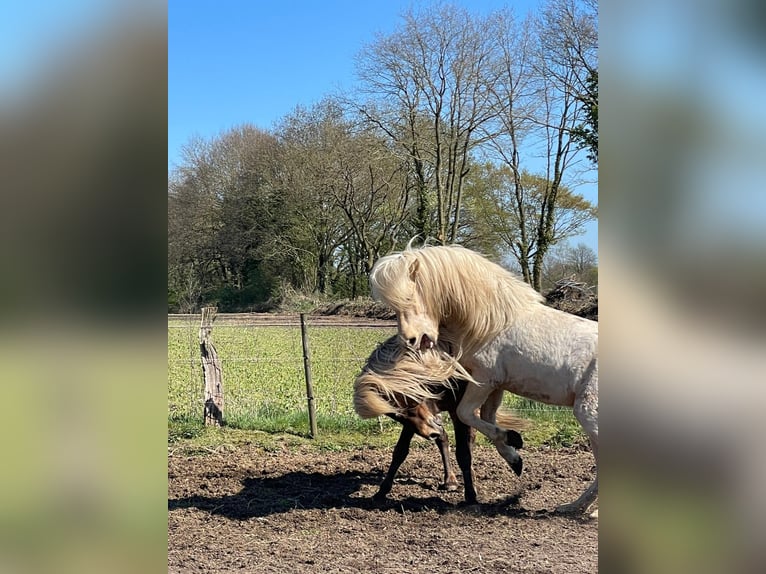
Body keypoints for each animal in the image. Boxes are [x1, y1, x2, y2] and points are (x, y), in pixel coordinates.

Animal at [354, 335, 528, 504]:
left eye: (411, 401)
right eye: (397, 415)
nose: (431, 433)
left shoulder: (456, 410)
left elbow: (464, 453)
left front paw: (471, 495)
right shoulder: (415, 422)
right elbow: (400, 451)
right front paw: (382, 491)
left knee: (467, 439)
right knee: (444, 438)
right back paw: (450, 479)